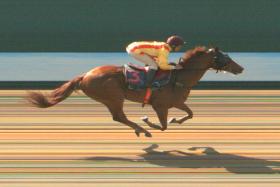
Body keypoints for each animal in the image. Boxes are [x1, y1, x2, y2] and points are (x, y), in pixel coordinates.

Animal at [27, 46, 244, 137]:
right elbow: (163, 126)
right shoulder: (160, 105)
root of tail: (85, 75)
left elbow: (189, 114)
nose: (241, 68)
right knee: (119, 117)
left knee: (118, 117)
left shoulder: (177, 102)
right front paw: (148, 121)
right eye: (226, 58)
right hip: (113, 97)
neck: (180, 78)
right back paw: (142, 130)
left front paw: (176, 120)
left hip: (112, 98)